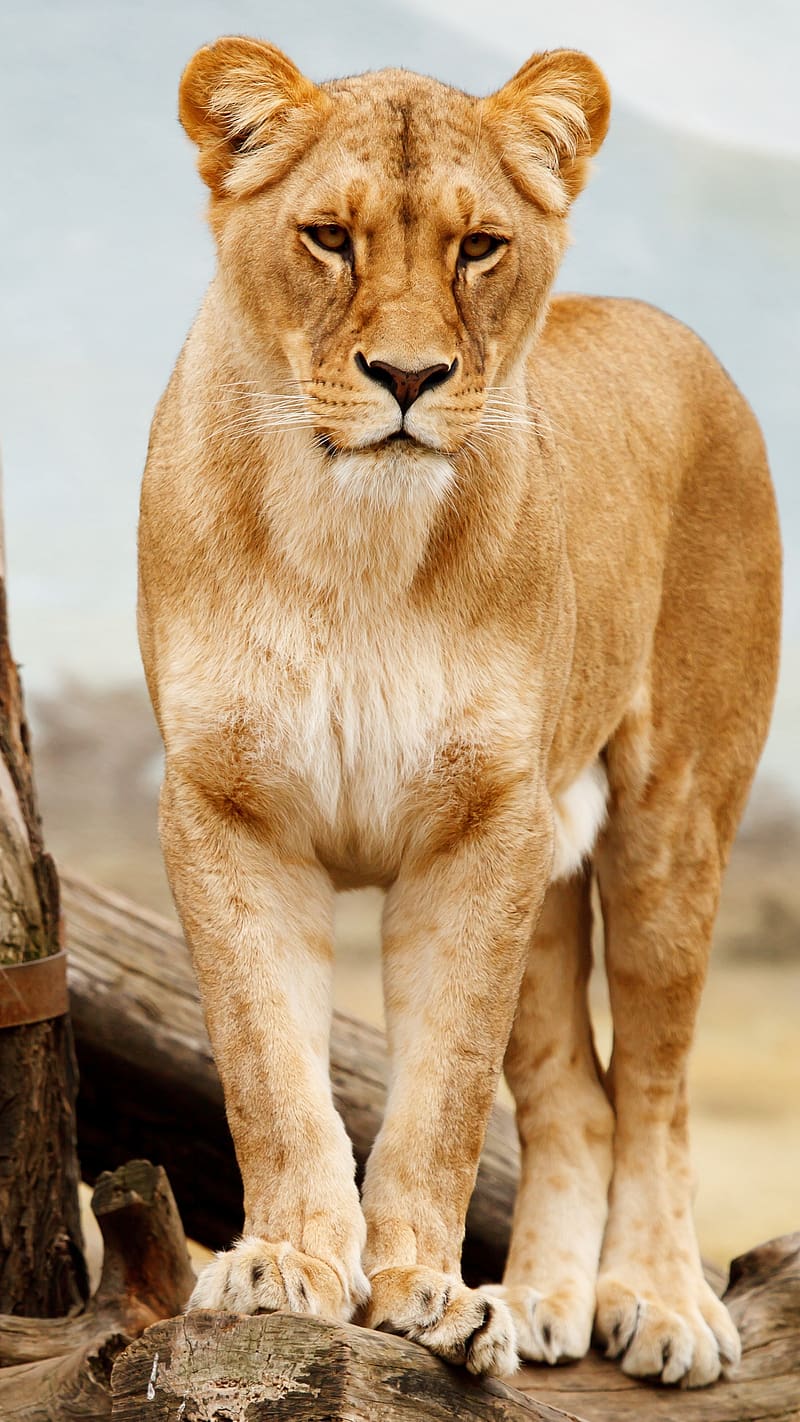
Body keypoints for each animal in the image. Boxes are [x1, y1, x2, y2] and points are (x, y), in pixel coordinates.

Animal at [138, 37, 781, 1386]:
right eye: (328, 238)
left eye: (478, 246)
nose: (407, 377)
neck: (352, 542)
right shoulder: (226, 808)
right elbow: (271, 1071)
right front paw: (284, 1265)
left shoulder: (481, 824)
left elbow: (439, 1092)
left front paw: (423, 1293)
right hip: (550, 863)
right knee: (574, 1095)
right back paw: (538, 1301)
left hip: (669, 824)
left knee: (653, 1085)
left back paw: (656, 1302)